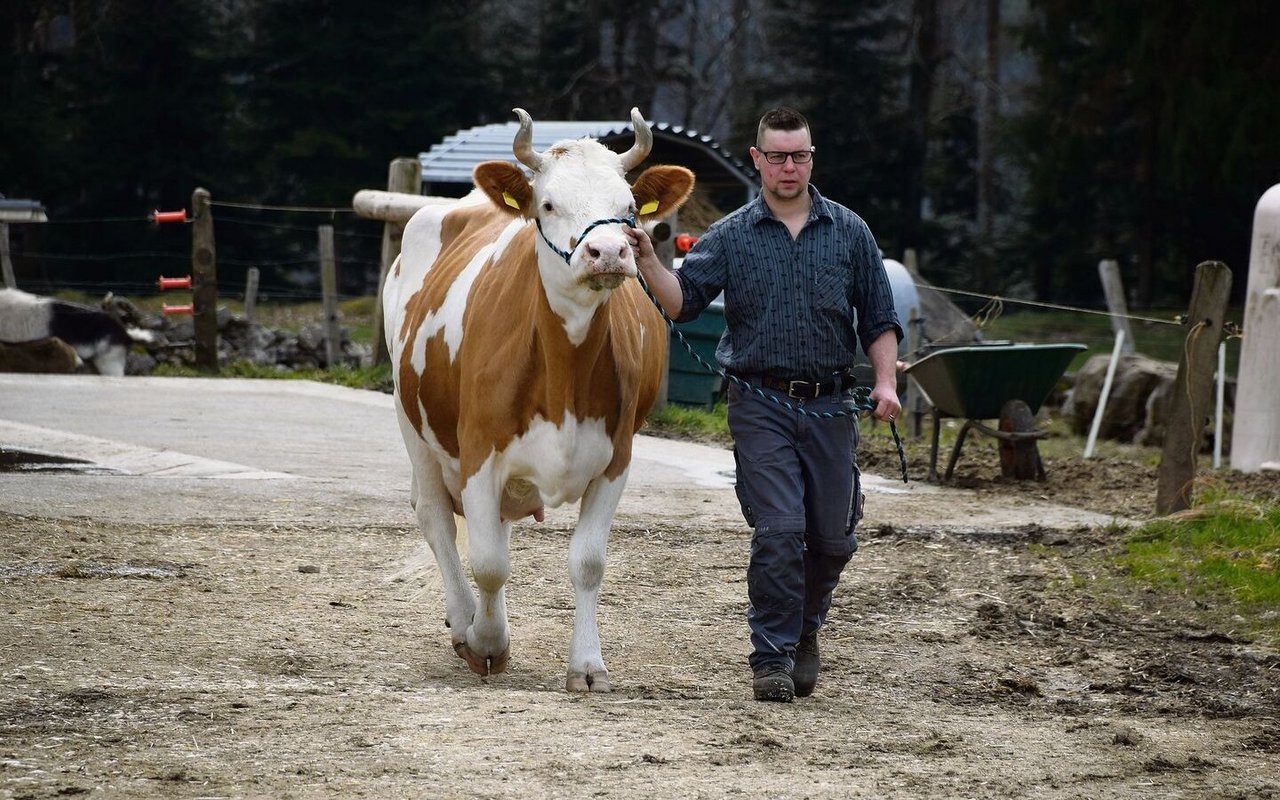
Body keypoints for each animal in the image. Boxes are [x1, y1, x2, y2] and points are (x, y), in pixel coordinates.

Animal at [384, 107, 696, 691]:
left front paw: (587, 665)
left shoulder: (616, 459)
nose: (608, 252)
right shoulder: (480, 451)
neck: (563, 376)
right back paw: (465, 617)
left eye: (628, 209)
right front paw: (487, 642)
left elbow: (588, 562)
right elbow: (487, 562)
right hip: (409, 418)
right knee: (437, 517)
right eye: (548, 204)